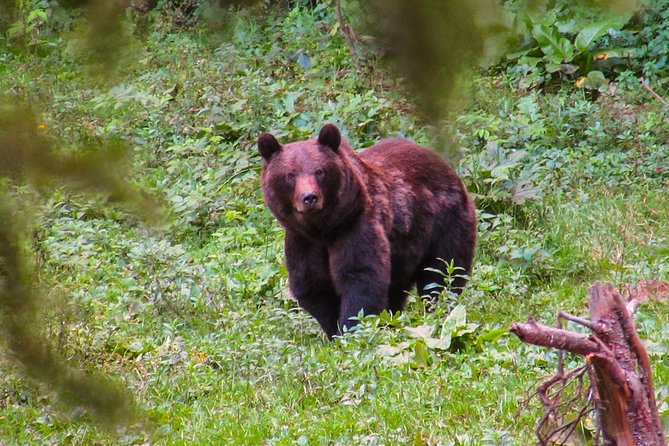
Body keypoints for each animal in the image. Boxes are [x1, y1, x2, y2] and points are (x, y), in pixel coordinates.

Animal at [258, 124, 477, 338]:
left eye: (319, 171)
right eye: (290, 175)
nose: (309, 197)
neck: (324, 229)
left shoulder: (356, 225)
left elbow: (360, 278)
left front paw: (350, 331)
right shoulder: (302, 240)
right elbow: (314, 286)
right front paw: (334, 332)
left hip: (445, 224)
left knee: (442, 273)